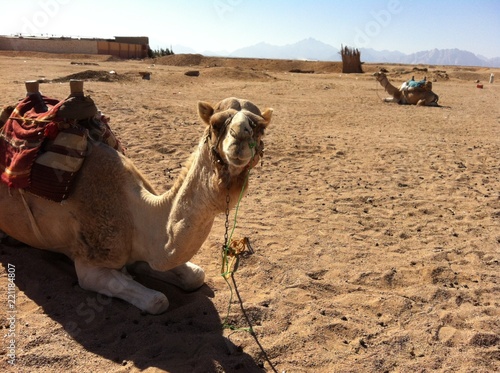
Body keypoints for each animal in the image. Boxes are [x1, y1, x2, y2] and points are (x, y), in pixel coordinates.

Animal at [0, 82, 274, 314]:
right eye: (216, 123)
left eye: (260, 127)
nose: (239, 140)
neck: (138, 215)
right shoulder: (90, 264)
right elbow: (157, 301)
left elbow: (195, 276)